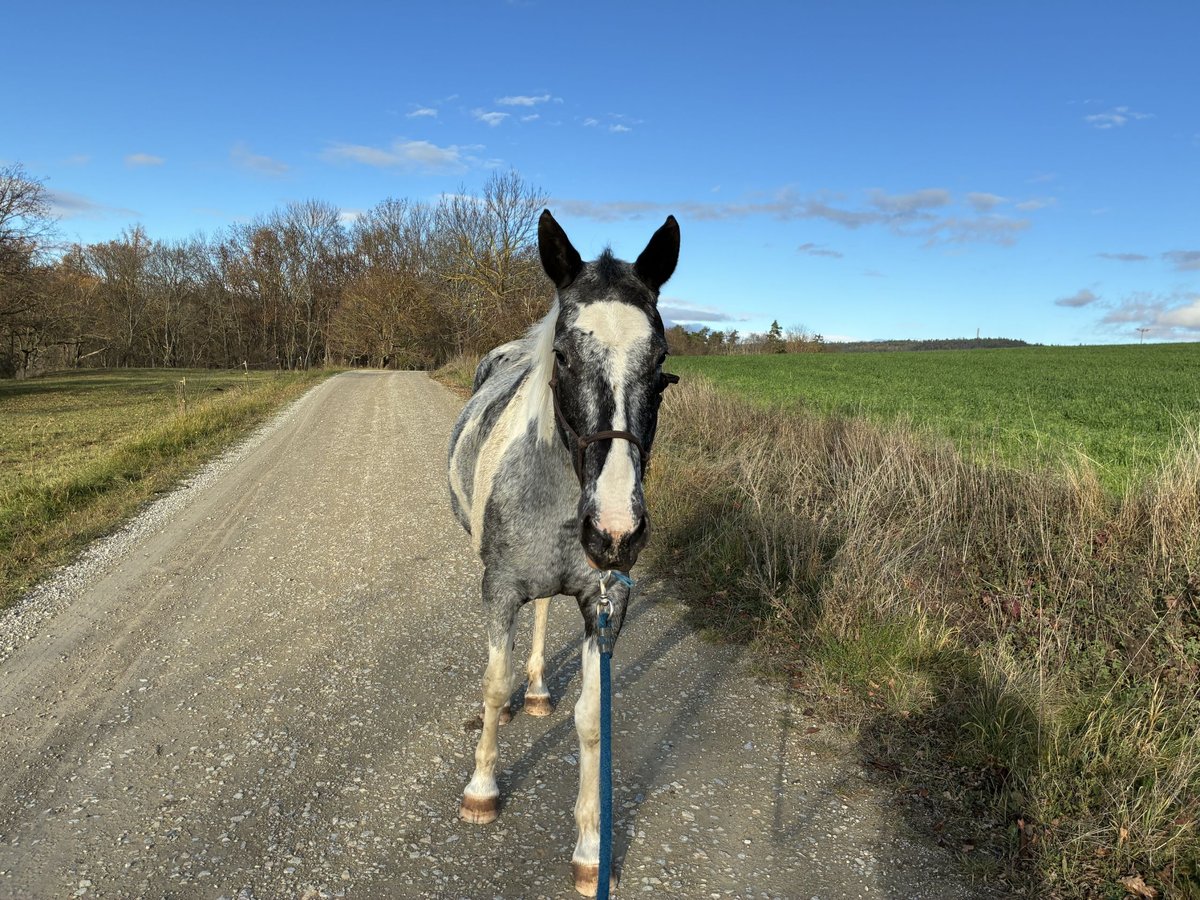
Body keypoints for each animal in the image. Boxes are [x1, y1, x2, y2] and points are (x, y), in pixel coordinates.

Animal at [447, 209, 679, 895]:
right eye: (565, 355)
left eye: (661, 361)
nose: (616, 529)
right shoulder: (498, 590)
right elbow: (492, 685)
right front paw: (482, 788)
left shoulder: (603, 604)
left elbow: (591, 721)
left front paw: (590, 850)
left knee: (544, 613)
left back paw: (538, 688)